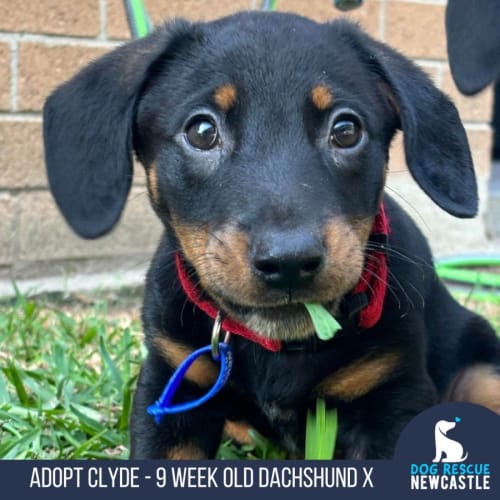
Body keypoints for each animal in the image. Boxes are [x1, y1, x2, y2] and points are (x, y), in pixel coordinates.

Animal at [43, 11, 500, 458]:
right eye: (202, 131)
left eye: (346, 130)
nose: (290, 262)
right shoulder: (172, 383)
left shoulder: (392, 394)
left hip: (482, 370)